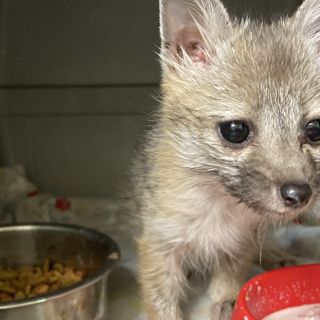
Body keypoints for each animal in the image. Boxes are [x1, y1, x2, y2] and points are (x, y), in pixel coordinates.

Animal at [134, 0, 320, 318]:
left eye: (315, 130)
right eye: (235, 131)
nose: (300, 194)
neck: (215, 207)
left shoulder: (240, 244)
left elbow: (228, 283)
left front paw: (226, 304)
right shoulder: (158, 244)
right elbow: (162, 304)